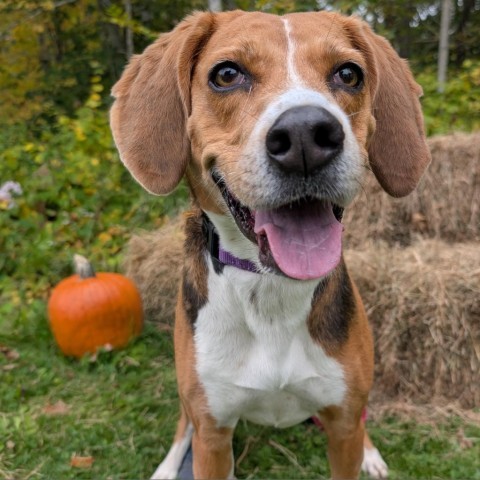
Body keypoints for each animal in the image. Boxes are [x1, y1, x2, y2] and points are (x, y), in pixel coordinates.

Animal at [109, 8, 432, 480]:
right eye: (226, 74)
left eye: (349, 74)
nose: (305, 136)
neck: (270, 288)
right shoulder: (213, 437)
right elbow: (197, 431)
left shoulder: (343, 427)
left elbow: (351, 430)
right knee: (183, 422)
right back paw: (168, 467)